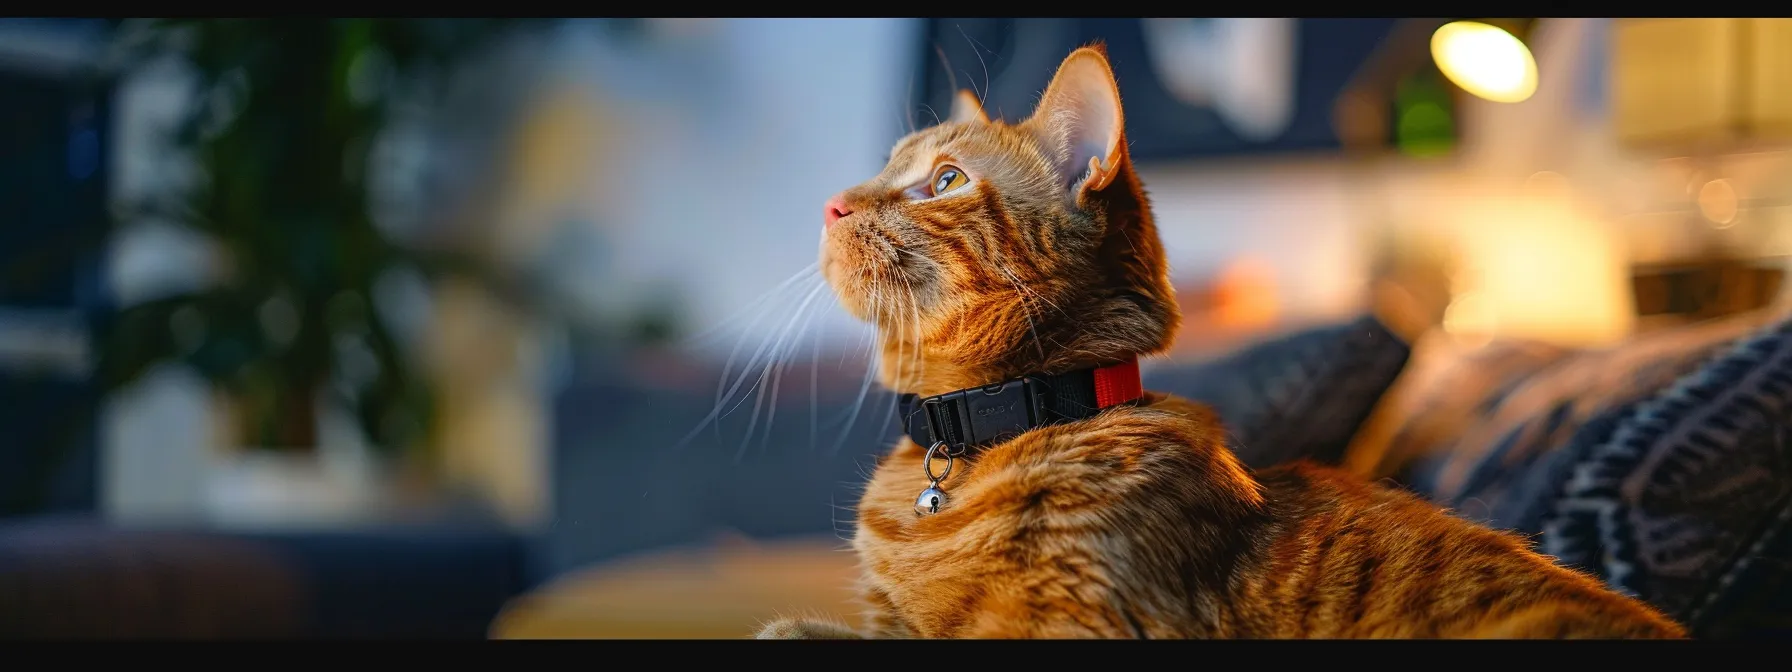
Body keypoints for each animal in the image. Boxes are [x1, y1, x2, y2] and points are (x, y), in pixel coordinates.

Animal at [759, 44, 1691, 637]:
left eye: (945, 181)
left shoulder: (1077, 625)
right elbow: (790, 627)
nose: (833, 204)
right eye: (888, 168)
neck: (981, 435)